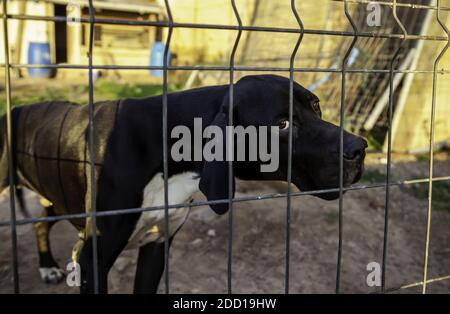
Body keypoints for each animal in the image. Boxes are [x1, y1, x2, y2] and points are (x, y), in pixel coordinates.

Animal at [0, 75, 366, 294]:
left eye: (316, 106)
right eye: (282, 124)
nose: (359, 149)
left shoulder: (156, 246)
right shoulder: (95, 259)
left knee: (40, 225)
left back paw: (47, 267)